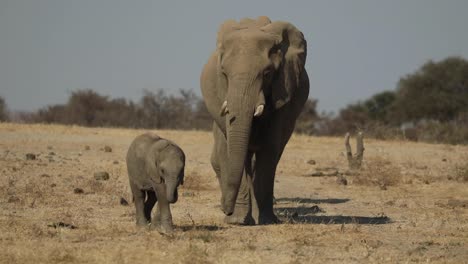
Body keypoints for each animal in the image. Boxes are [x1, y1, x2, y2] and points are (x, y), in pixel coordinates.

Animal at [199, 16, 308, 224]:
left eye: (267, 73)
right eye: (224, 73)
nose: (226, 210)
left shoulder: (283, 92)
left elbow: (269, 149)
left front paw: (265, 221)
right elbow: (230, 149)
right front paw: (237, 221)